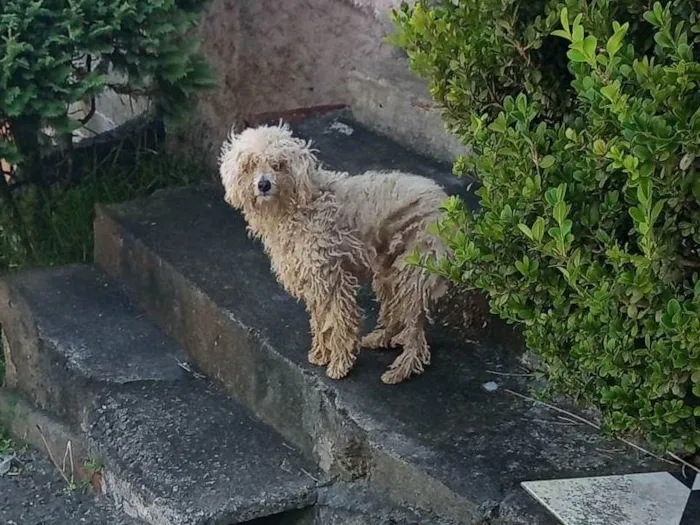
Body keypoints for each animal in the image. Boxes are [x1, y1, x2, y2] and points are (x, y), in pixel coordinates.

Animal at [219, 124, 448, 384]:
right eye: (250, 165)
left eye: (279, 165)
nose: (264, 185)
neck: (299, 207)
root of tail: (442, 199)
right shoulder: (314, 281)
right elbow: (320, 321)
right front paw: (320, 353)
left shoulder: (331, 279)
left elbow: (338, 322)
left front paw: (339, 364)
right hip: (390, 271)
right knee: (396, 313)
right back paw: (381, 339)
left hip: (414, 274)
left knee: (416, 334)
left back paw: (400, 370)